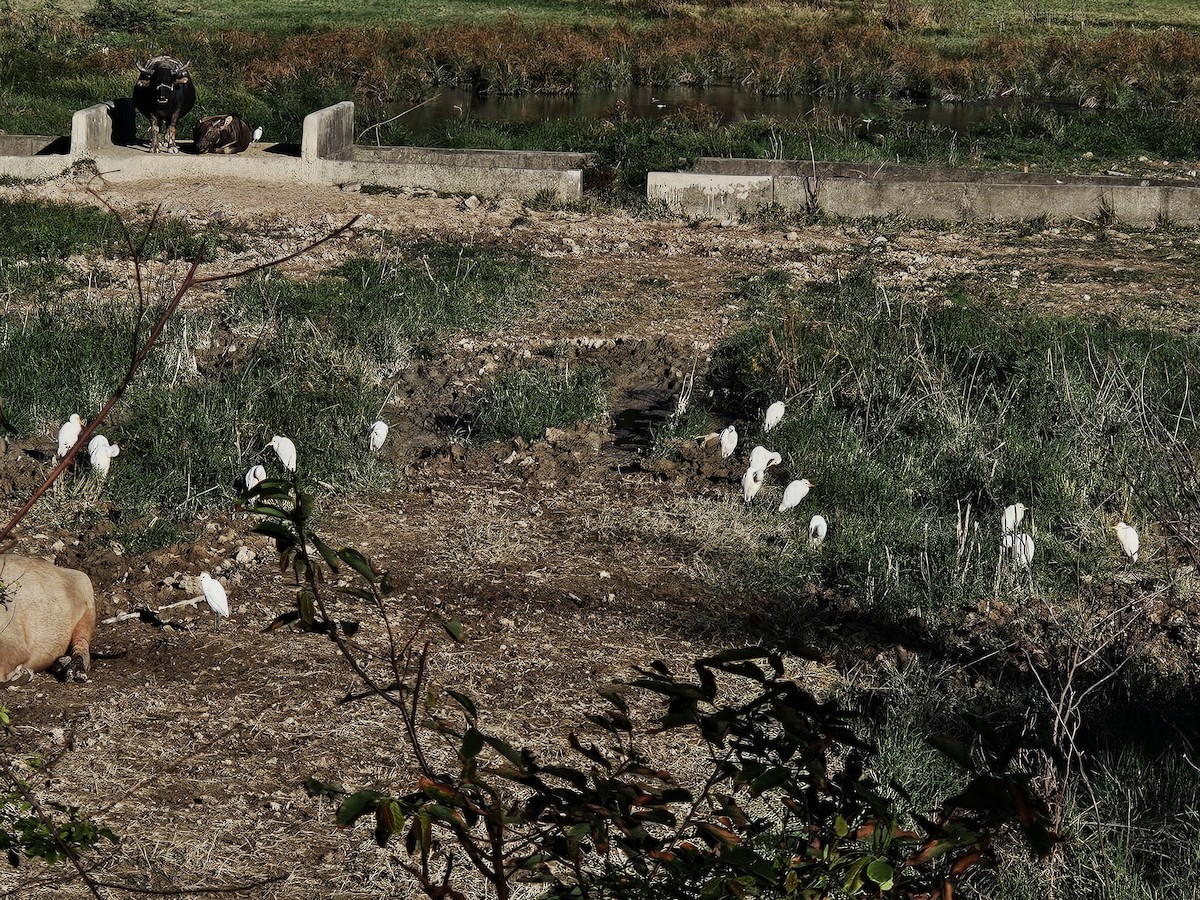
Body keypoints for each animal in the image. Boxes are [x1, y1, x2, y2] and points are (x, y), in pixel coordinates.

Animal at [0, 555, 95, 684]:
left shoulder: (14, 640)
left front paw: (25, 674)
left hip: (88, 604)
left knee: (82, 647)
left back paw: (74, 672)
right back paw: (59, 665)